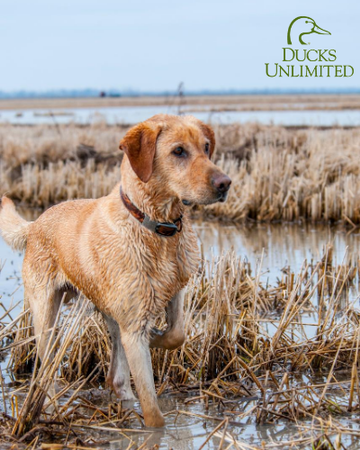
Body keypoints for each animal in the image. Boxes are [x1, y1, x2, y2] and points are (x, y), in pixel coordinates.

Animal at [0, 114, 231, 428]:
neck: (155, 228)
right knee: (47, 366)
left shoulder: (175, 293)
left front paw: (157, 336)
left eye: (206, 147)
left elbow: (177, 334)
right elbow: (153, 413)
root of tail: (34, 224)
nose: (225, 183)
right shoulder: (132, 328)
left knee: (117, 377)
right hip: (45, 312)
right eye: (178, 151)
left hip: (107, 309)